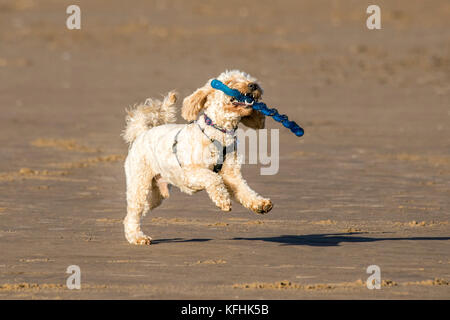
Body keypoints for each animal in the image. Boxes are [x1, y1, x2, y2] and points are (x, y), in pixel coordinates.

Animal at [121, 70, 272, 245]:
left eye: (248, 79)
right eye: (229, 81)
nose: (253, 85)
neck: (219, 132)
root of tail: (142, 132)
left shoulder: (231, 175)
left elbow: (244, 190)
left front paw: (260, 204)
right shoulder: (190, 175)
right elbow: (214, 178)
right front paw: (222, 199)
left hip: (155, 194)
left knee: (136, 211)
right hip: (139, 183)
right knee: (133, 211)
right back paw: (137, 237)